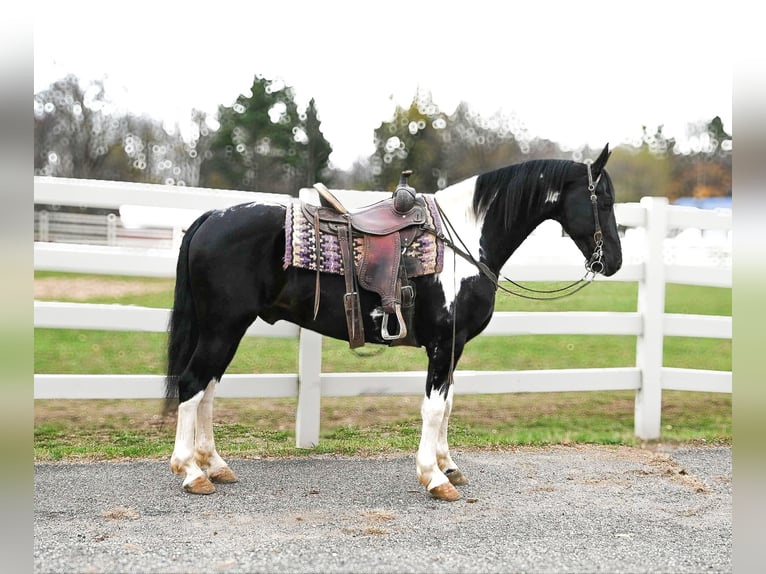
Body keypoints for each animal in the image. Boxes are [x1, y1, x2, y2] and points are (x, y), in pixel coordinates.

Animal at [165, 144, 622, 501]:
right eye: (603, 201)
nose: (614, 262)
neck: (463, 242)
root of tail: (211, 217)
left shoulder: (453, 348)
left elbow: (447, 404)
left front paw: (448, 464)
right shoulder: (443, 343)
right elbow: (434, 407)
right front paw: (434, 477)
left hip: (225, 330)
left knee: (207, 392)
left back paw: (216, 465)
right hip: (223, 327)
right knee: (192, 385)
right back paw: (191, 471)